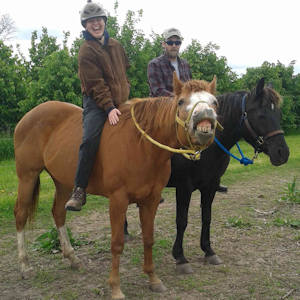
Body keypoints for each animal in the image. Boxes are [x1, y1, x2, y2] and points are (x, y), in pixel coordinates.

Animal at [14, 74, 218, 298]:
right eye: (181, 101)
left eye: (214, 102)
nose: (205, 119)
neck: (141, 145)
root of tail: (27, 116)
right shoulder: (118, 200)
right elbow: (117, 243)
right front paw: (115, 288)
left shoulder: (151, 200)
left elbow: (148, 238)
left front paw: (153, 279)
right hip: (27, 176)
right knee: (21, 214)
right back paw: (24, 266)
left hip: (62, 181)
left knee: (58, 213)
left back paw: (72, 258)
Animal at [123, 78, 288, 274]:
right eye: (261, 115)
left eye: (278, 114)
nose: (283, 153)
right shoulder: (184, 187)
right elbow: (182, 221)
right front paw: (180, 257)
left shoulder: (211, 186)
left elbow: (206, 217)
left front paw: (208, 251)